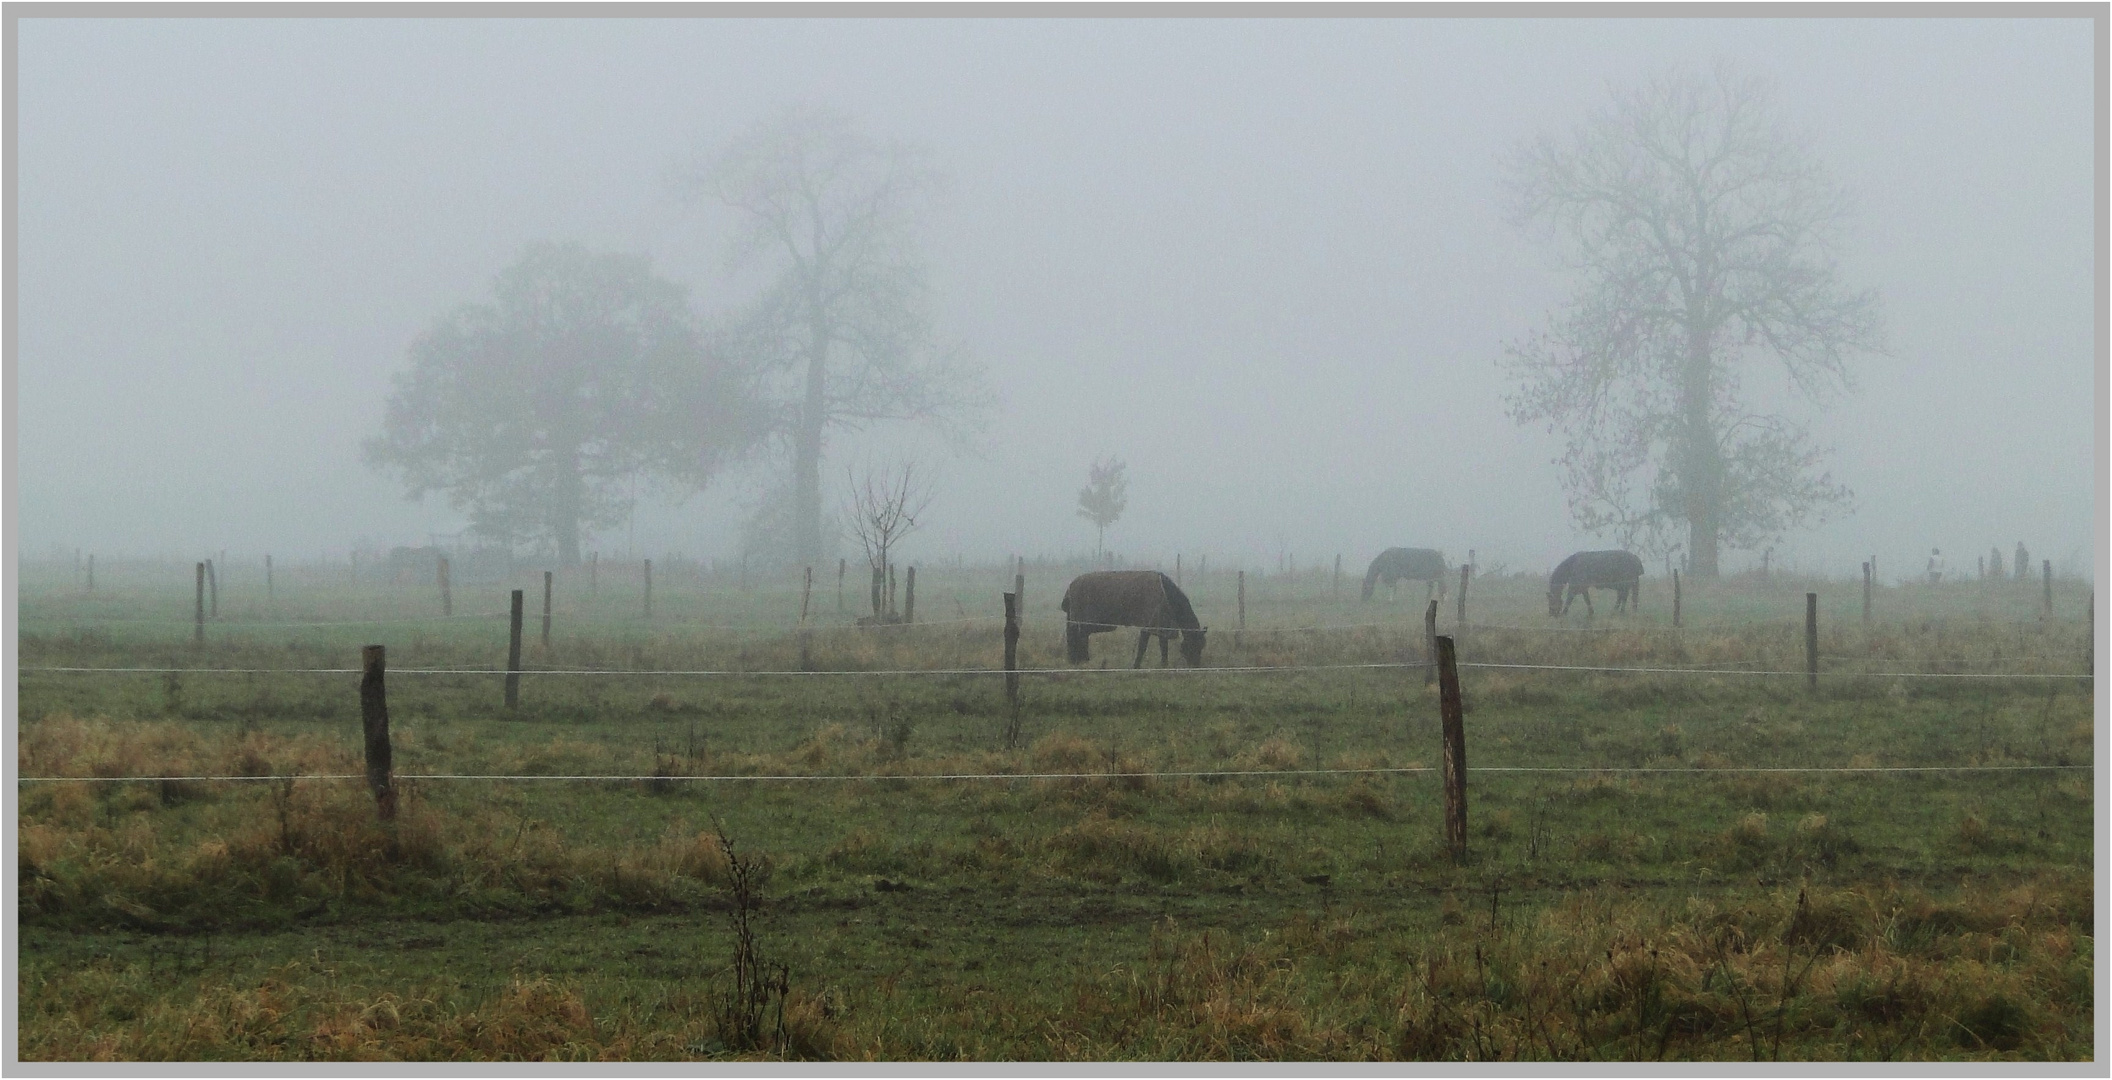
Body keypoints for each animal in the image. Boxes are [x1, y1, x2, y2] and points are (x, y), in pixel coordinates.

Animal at [1056, 566, 1208, 667]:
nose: (1196, 665)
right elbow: (1144, 647)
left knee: (1079, 637)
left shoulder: (1160, 624)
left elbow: (1162, 646)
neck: (1167, 594)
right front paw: (1137, 665)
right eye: (1194, 645)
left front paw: (1163, 664)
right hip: (1082, 621)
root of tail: (1070, 588)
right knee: (1080, 637)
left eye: (1202, 646)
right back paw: (1082, 660)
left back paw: (1078, 660)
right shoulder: (1151, 624)